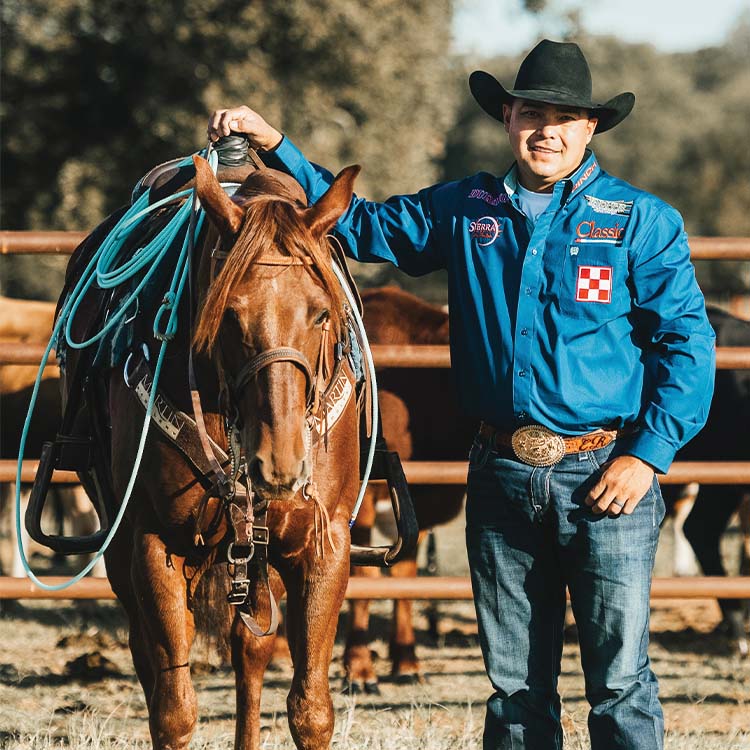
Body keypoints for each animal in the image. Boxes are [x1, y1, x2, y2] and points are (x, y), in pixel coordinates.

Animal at [59, 154, 364, 750]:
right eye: (229, 314)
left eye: (321, 313)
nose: (281, 464)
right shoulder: (154, 543)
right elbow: (174, 710)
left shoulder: (323, 545)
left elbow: (310, 708)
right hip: (121, 543)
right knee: (149, 655)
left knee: (251, 650)